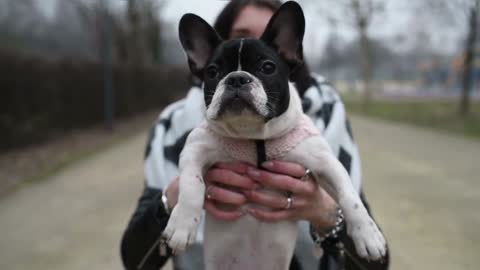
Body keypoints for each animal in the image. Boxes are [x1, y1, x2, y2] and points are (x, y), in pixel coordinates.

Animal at [161, 1, 386, 268]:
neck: (255, 137)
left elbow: (350, 197)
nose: (237, 79)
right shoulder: (195, 150)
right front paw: (181, 226)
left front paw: (368, 235)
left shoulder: (326, 164)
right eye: (213, 72)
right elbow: (191, 185)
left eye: (267, 67)